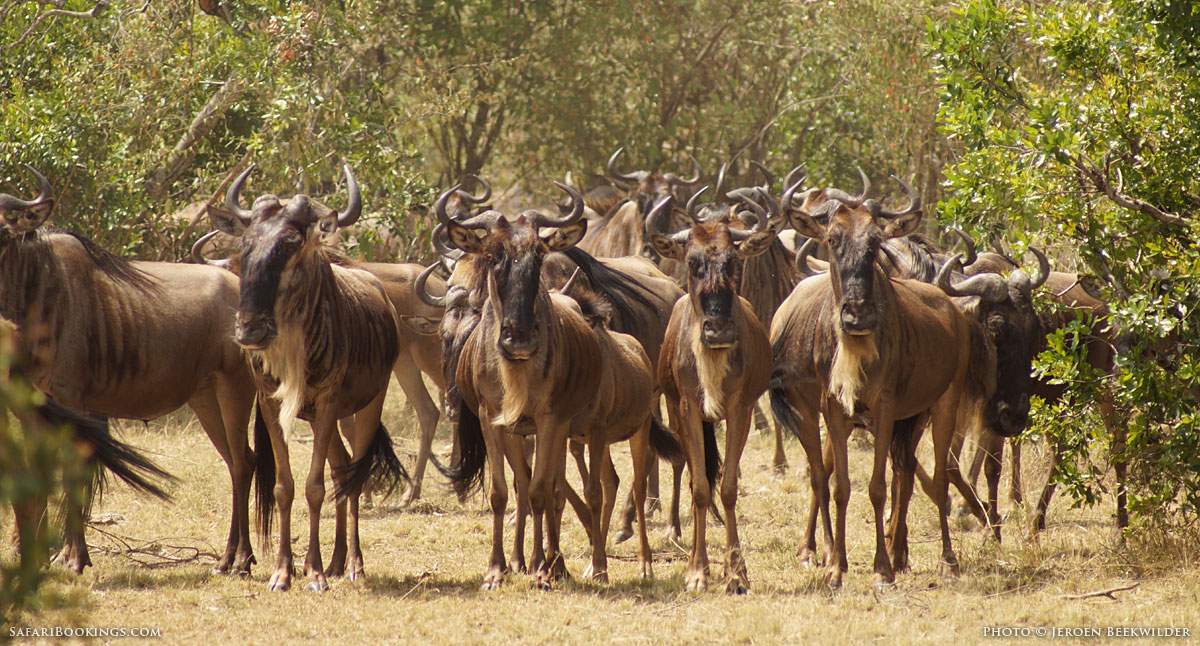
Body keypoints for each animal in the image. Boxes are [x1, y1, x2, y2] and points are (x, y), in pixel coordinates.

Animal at [0, 166, 258, 576]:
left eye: (4, 230)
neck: (34, 292)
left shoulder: (72, 403)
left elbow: (73, 471)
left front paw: (73, 557)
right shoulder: (31, 406)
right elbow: (37, 475)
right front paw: (37, 557)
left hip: (235, 390)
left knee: (245, 462)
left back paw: (242, 560)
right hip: (206, 401)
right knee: (234, 462)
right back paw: (227, 558)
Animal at [210, 164, 405, 592]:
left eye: (290, 246)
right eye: (245, 246)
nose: (249, 330)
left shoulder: (329, 402)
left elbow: (316, 488)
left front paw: (313, 572)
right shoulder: (272, 405)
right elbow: (285, 486)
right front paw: (284, 571)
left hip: (366, 408)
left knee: (353, 475)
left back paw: (353, 565)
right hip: (322, 421)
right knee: (342, 467)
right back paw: (336, 562)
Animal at [643, 189, 774, 594]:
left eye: (732, 260)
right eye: (693, 260)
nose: (718, 330)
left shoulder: (740, 410)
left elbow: (728, 486)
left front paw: (737, 573)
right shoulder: (686, 409)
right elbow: (699, 486)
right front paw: (697, 571)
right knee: (688, 474)